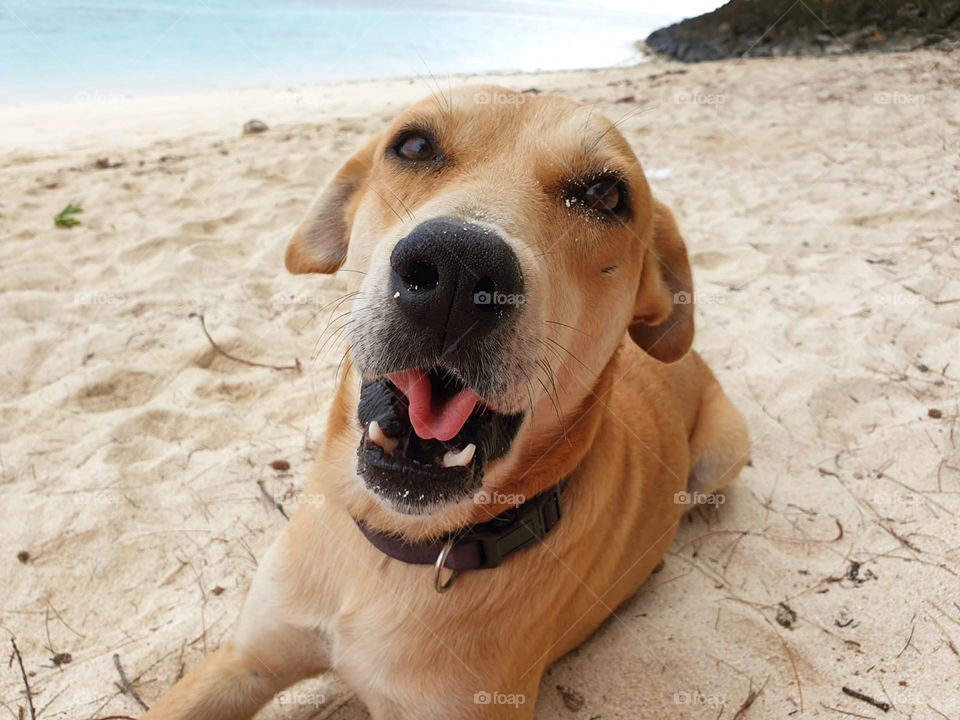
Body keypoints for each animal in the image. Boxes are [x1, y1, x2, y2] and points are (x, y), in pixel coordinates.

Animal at [146, 86, 752, 720]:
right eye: (413, 145)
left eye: (605, 195)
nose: (458, 269)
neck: (391, 552)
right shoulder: (245, 659)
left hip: (723, 453)